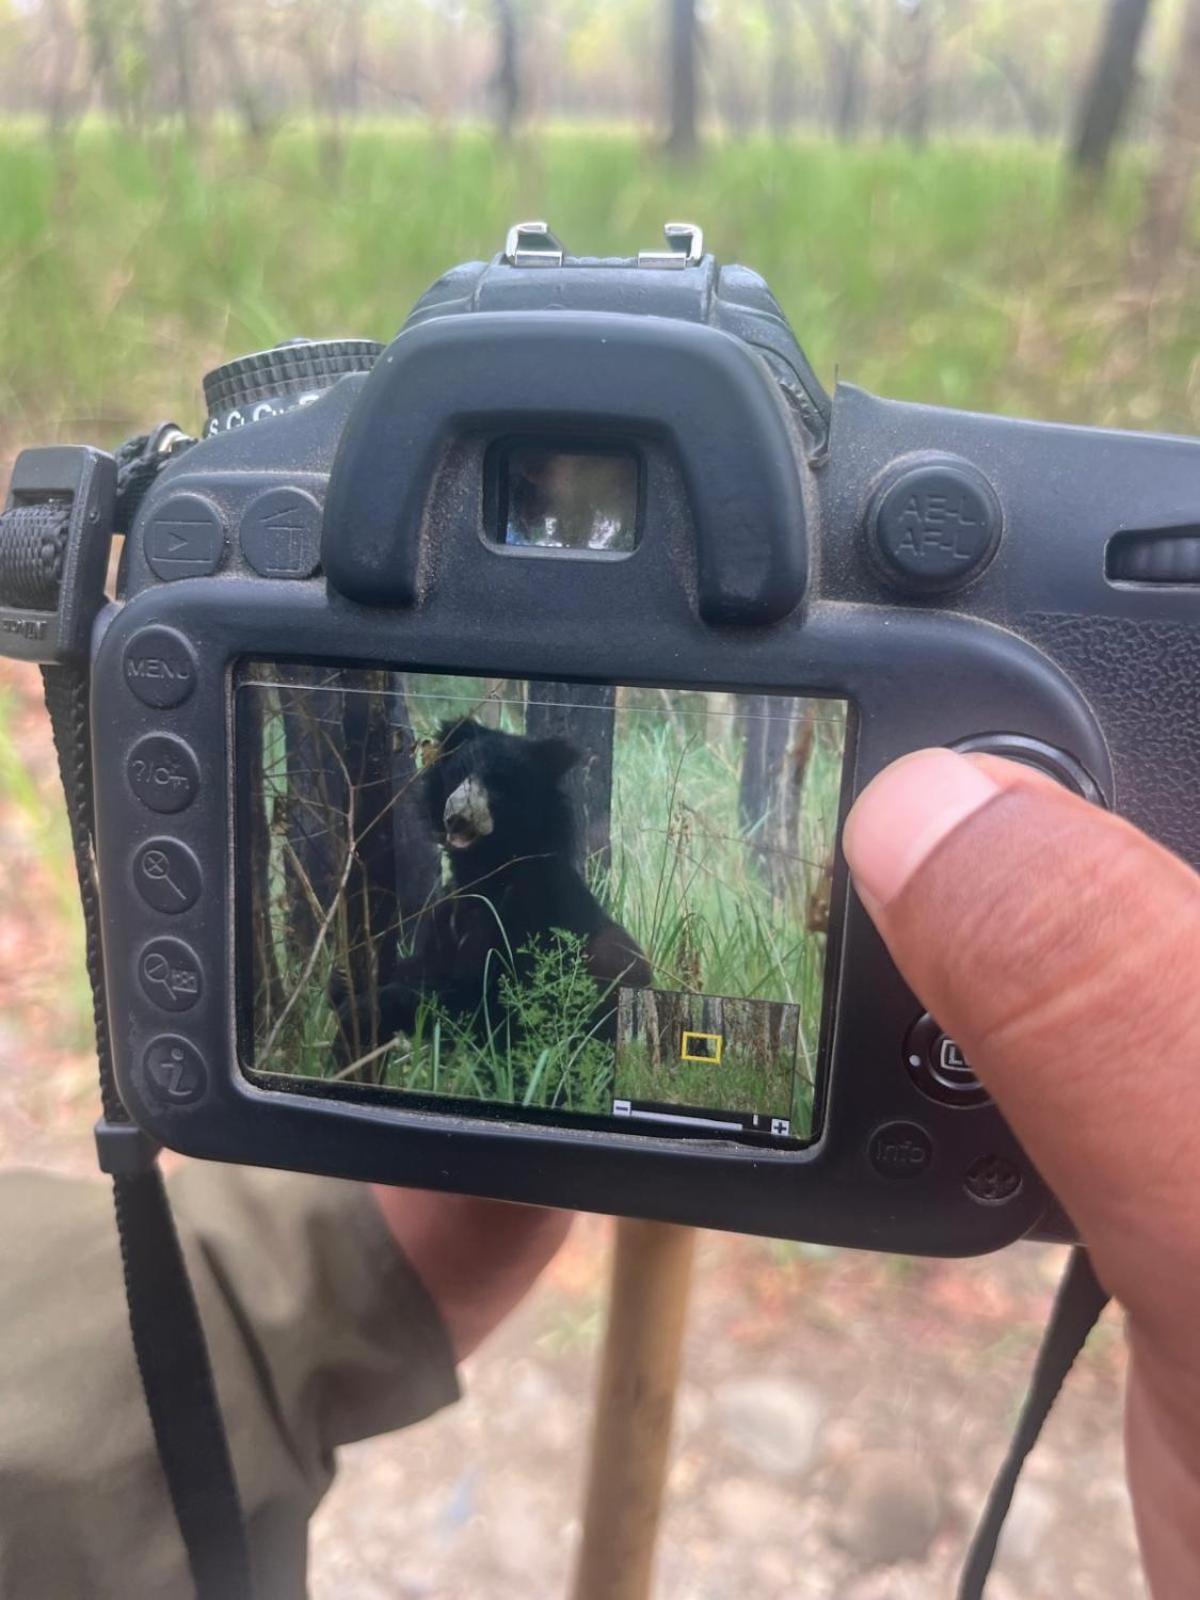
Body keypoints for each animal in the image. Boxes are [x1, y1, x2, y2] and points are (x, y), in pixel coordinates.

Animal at [339, 713, 652, 1062]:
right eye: (458, 774)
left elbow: (486, 996)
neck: (486, 868)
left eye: (499, 785)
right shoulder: (450, 905)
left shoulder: (533, 906)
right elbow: (428, 964)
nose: (457, 816)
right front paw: (346, 983)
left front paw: (364, 1008)